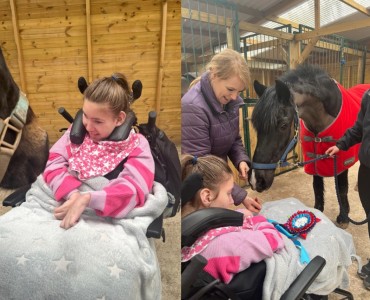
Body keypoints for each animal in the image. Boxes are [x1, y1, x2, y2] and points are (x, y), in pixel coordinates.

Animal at [249, 65, 370, 227]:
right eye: (256, 126)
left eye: (283, 125)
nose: (256, 180)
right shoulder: (313, 160)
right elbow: (317, 186)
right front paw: (318, 210)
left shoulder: (342, 160)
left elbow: (342, 188)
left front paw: (343, 217)